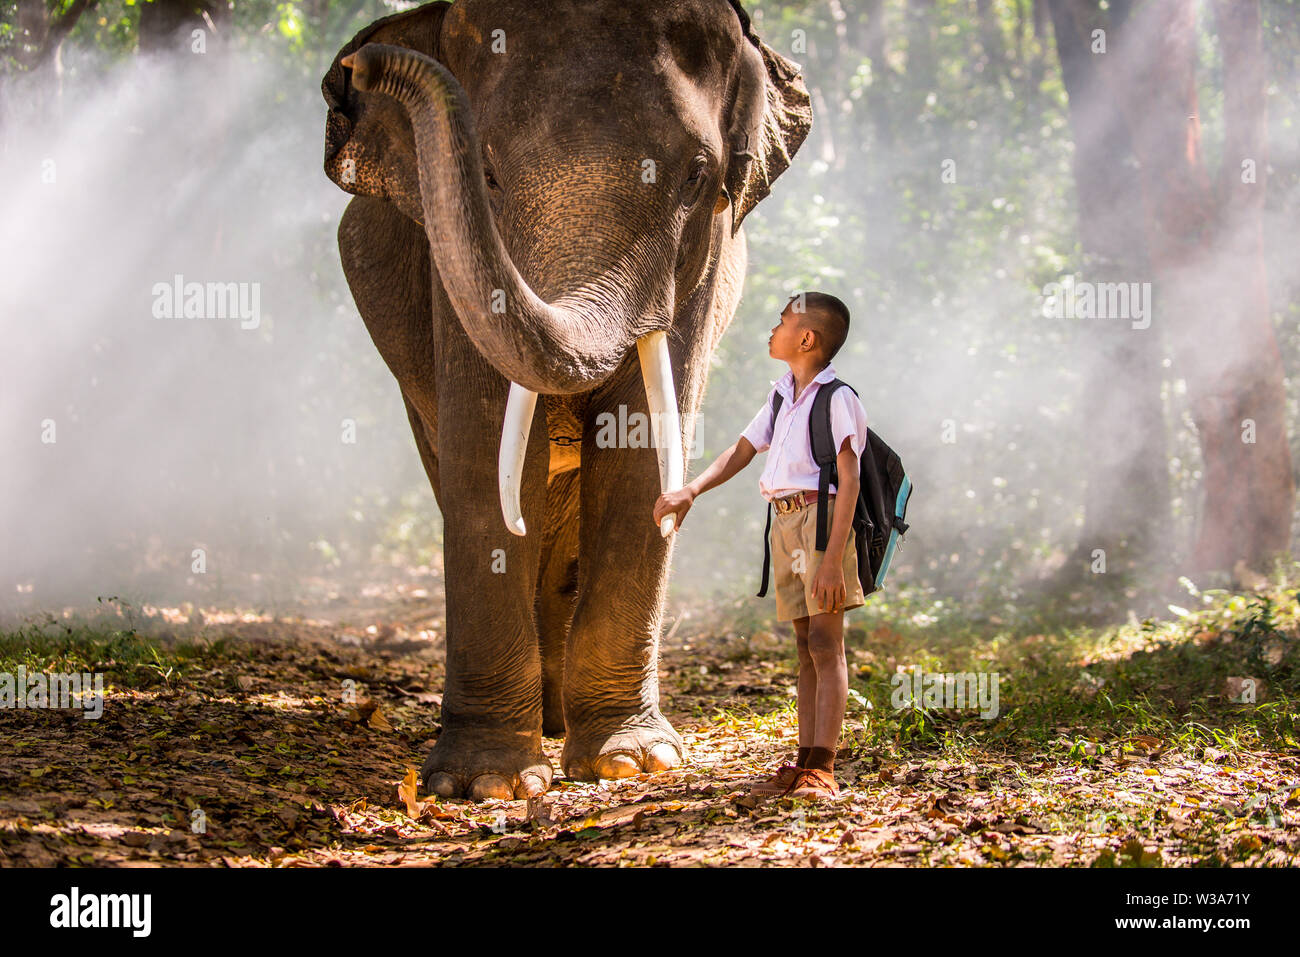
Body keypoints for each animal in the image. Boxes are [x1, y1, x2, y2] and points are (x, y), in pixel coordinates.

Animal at [321, 0, 811, 800]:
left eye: (696, 177)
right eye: (485, 173)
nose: (361, 67)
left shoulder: (700, 276)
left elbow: (637, 457)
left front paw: (629, 763)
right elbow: (485, 457)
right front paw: (485, 784)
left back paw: (559, 723)